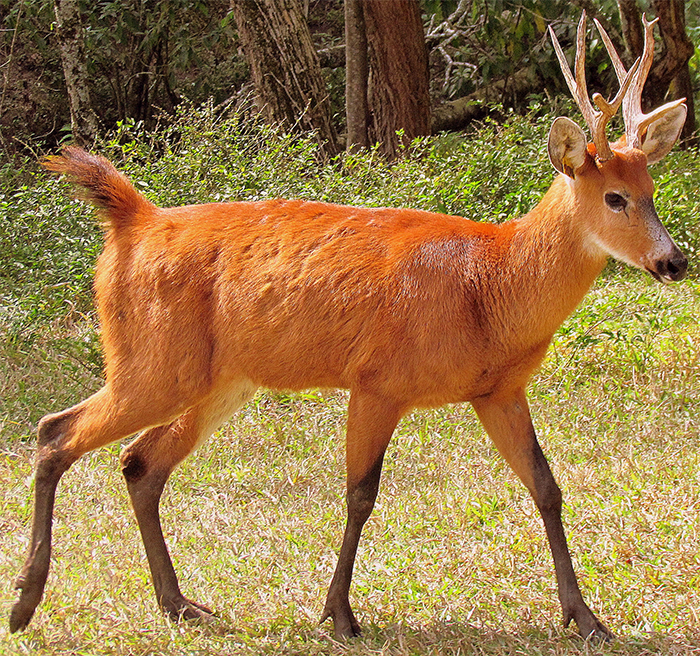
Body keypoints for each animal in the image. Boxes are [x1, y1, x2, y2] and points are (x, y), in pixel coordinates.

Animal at [9, 12, 688, 644]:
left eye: (653, 189)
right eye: (614, 198)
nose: (674, 261)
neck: (489, 287)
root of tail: (135, 221)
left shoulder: (498, 390)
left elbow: (547, 486)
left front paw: (586, 618)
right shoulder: (377, 380)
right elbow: (360, 494)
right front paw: (339, 613)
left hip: (216, 380)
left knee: (139, 464)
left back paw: (179, 604)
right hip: (151, 361)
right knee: (53, 430)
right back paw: (24, 602)